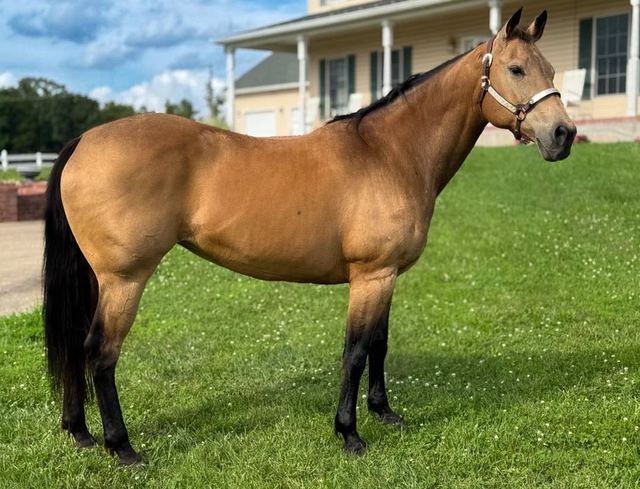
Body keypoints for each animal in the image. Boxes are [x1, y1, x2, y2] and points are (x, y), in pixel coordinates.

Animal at [43, 8, 575, 465]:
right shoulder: (370, 277)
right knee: (100, 354)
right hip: (125, 280)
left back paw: (80, 432)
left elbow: (379, 345)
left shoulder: (386, 277)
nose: (563, 134)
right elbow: (355, 352)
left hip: (99, 279)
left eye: (551, 68)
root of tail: (84, 140)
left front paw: (385, 413)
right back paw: (122, 447)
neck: (389, 153)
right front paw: (349, 433)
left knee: (76, 346)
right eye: (516, 69)